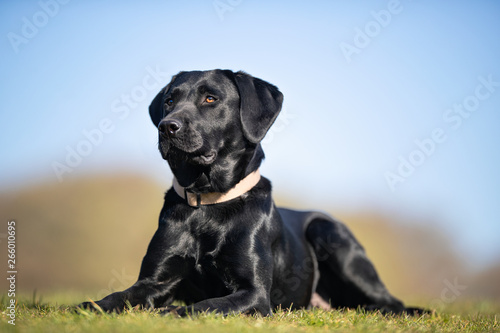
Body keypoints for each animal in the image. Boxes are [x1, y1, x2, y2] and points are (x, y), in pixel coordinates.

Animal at [80, 69, 424, 314]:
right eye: (169, 101)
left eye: (210, 99)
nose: (167, 126)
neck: (208, 203)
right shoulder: (155, 280)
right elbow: (118, 296)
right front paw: (86, 307)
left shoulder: (253, 293)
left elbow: (204, 306)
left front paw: (171, 313)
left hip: (330, 234)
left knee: (392, 303)